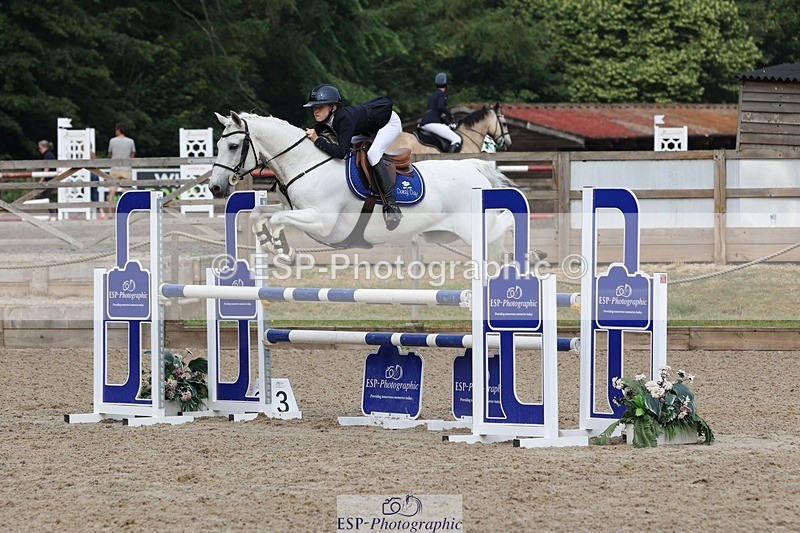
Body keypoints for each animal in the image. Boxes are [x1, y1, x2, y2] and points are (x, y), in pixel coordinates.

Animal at [208, 111, 514, 260]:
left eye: (233, 146)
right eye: (219, 145)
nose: (215, 188)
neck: (305, 162)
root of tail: (473, 166)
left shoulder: (321, 222)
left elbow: (277, 220)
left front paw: (284, 250)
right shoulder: (295, 211)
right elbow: (261, 214)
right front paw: (270, 243)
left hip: (472, 229)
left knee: (503, 228)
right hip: (444, 234)